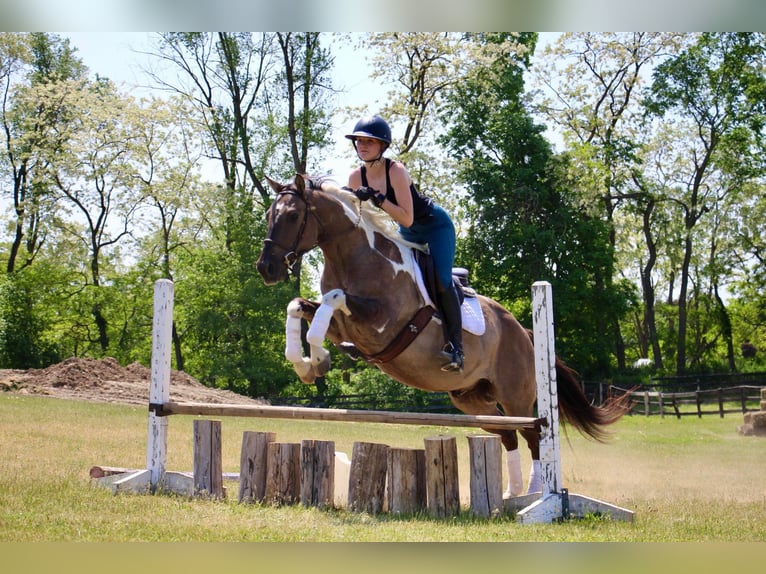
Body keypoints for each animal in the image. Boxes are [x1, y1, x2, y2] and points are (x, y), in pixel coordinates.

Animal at [258, 173, 632, 498]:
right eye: (268, 215)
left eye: (292, 215)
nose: (266, 268)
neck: (353, 256)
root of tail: (524, 332)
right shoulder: (344, 326)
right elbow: (299, 306)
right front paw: (306, 364)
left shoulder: (381, 323)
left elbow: (333, 299)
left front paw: (318, 359)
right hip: (470, 399)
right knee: (507, 433)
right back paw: (511, 493)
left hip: (516, 395)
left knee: (531, 433)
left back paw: (535, 492)